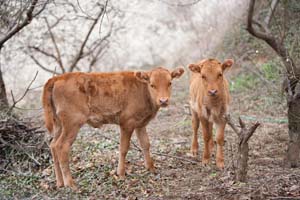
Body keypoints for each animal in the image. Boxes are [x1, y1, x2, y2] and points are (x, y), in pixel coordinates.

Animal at [41, 66, 184, 188]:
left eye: (170, 83)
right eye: (152, 85)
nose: (163, 101)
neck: (142, 91)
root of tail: (57, 78)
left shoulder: (141, 123)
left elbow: (145, 144)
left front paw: (151, 168)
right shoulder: (127, 122)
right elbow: (124, 148)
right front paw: (121, 173)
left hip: (59, 124)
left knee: (53, 145)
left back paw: (59, 183)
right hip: (72, 123)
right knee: (62, 146)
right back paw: (70, 184)